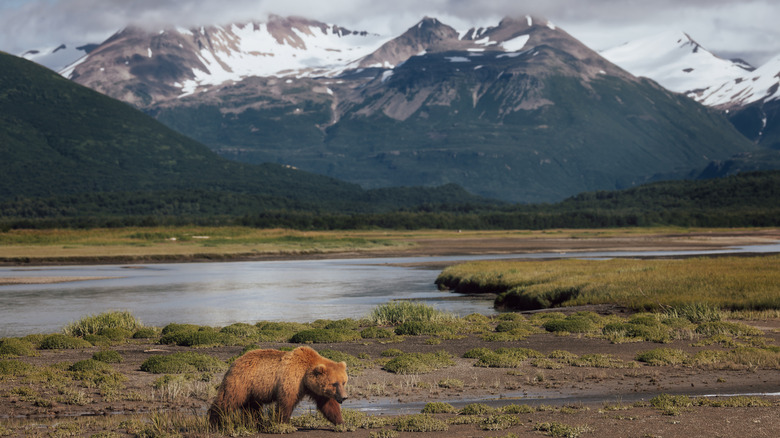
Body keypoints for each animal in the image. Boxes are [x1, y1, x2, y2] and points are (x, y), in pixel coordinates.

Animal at [208, 346, 348, 427]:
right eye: (334, 383)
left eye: (343, 382)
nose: (344, 397)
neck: (305, 374)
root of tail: (235, 361)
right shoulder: (292, 379)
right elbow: (286, 401)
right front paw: (283, 423)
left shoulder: (314, 388)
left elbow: (327, 404)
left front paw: (341, 422)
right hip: (241, 382)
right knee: (228, 399)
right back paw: (215, 421)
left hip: (253, 389)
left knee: (252, 407)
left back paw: (256, 422)